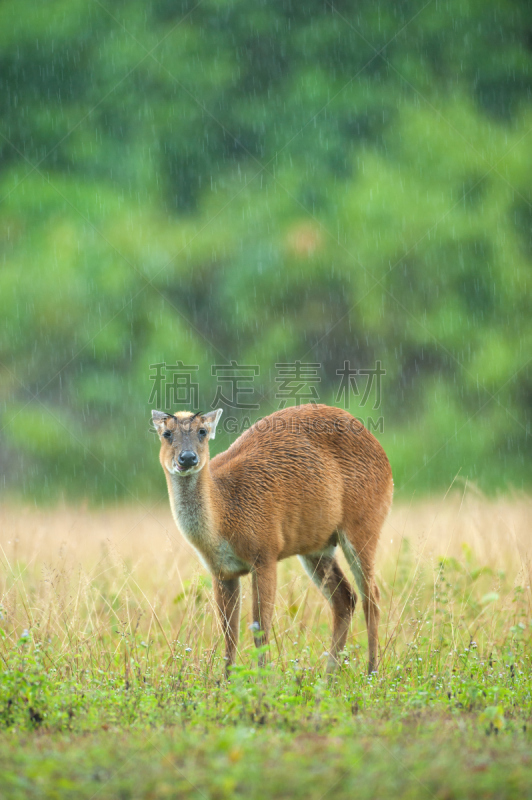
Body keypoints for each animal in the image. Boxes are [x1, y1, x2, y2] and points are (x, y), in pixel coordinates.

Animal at [152, 406, 392, 676]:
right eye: (167, 433)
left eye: (202, 431)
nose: (187, 458)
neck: (225, 513)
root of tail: (382, 454)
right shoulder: (222, 571)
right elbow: (229, 632)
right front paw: (225, 680)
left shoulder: (265, 552)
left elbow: (260, 626)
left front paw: (262, 679)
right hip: (317, 548)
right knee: (345, 599)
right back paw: (329, 675)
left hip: (364, 525)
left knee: (372, 596)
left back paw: (371, 672)